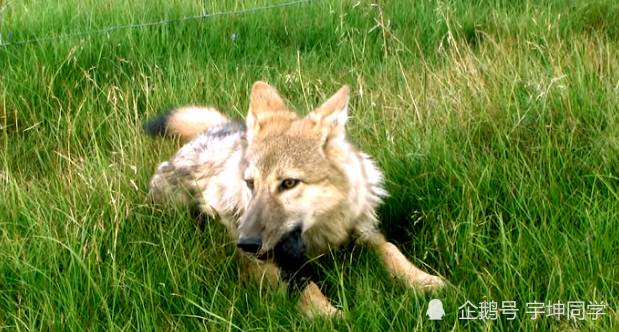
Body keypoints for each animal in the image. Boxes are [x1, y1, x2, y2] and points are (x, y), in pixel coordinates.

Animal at [144, 81, 446, 318]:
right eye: (250, 184)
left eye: (288, 183)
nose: (246, 243)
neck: (319, 238)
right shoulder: (262, 264)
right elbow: (303, 285)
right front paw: (329, 316)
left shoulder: (361, 231)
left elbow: (392, 251)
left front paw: (425, 281)